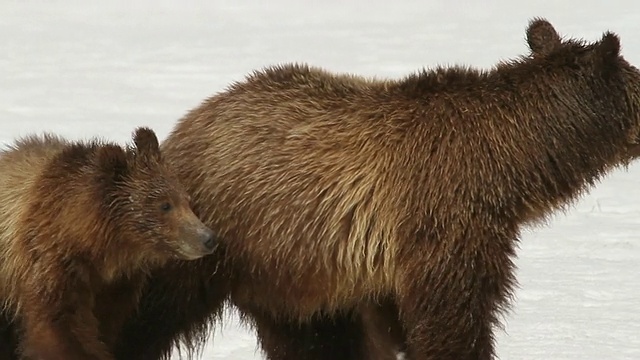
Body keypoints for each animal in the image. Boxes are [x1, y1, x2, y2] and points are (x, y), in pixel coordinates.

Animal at [0, 127, 216, 360]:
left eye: (187, 200)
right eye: (165, 205)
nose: (208, 238)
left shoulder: (117, 284)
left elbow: (105, 324)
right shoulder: (52, 264)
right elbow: (63, 326)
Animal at [115, 19, 640, 360]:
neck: (506, 165)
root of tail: (186, 123)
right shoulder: (441, 223)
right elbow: (454, 317)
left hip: (291, 272)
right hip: (206, 237)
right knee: (148, 311)